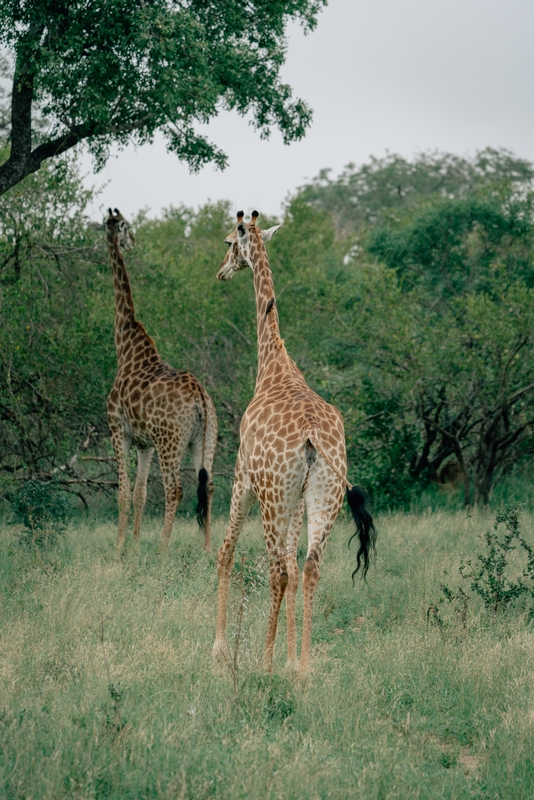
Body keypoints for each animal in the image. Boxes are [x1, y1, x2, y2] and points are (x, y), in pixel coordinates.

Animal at [104, 209, 218, 552]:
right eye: (126, 225)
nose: (132, 242)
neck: (125, 345)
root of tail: (200, 398)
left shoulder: (118, 429)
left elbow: (123, 492)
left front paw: (120, 548)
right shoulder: (145, 444)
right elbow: (139, 493)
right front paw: (134, 544)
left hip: (171, 441)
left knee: (175, 489)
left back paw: (164, 549)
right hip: (203, 439)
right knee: (208, 486)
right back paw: (207, 549)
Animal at [211, 209, 374, 672]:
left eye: (229, 242)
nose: (221, 272)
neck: (273, 364)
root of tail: (312, 437)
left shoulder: (242, 475)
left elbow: (226, 553)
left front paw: (219, 649)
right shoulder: (299, 498)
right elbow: (296, 566)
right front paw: (288, 659)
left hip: (271, 496)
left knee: (275, 570)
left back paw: (264, 664)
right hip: (323, 497)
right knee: (310, 567)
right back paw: (302, 668)